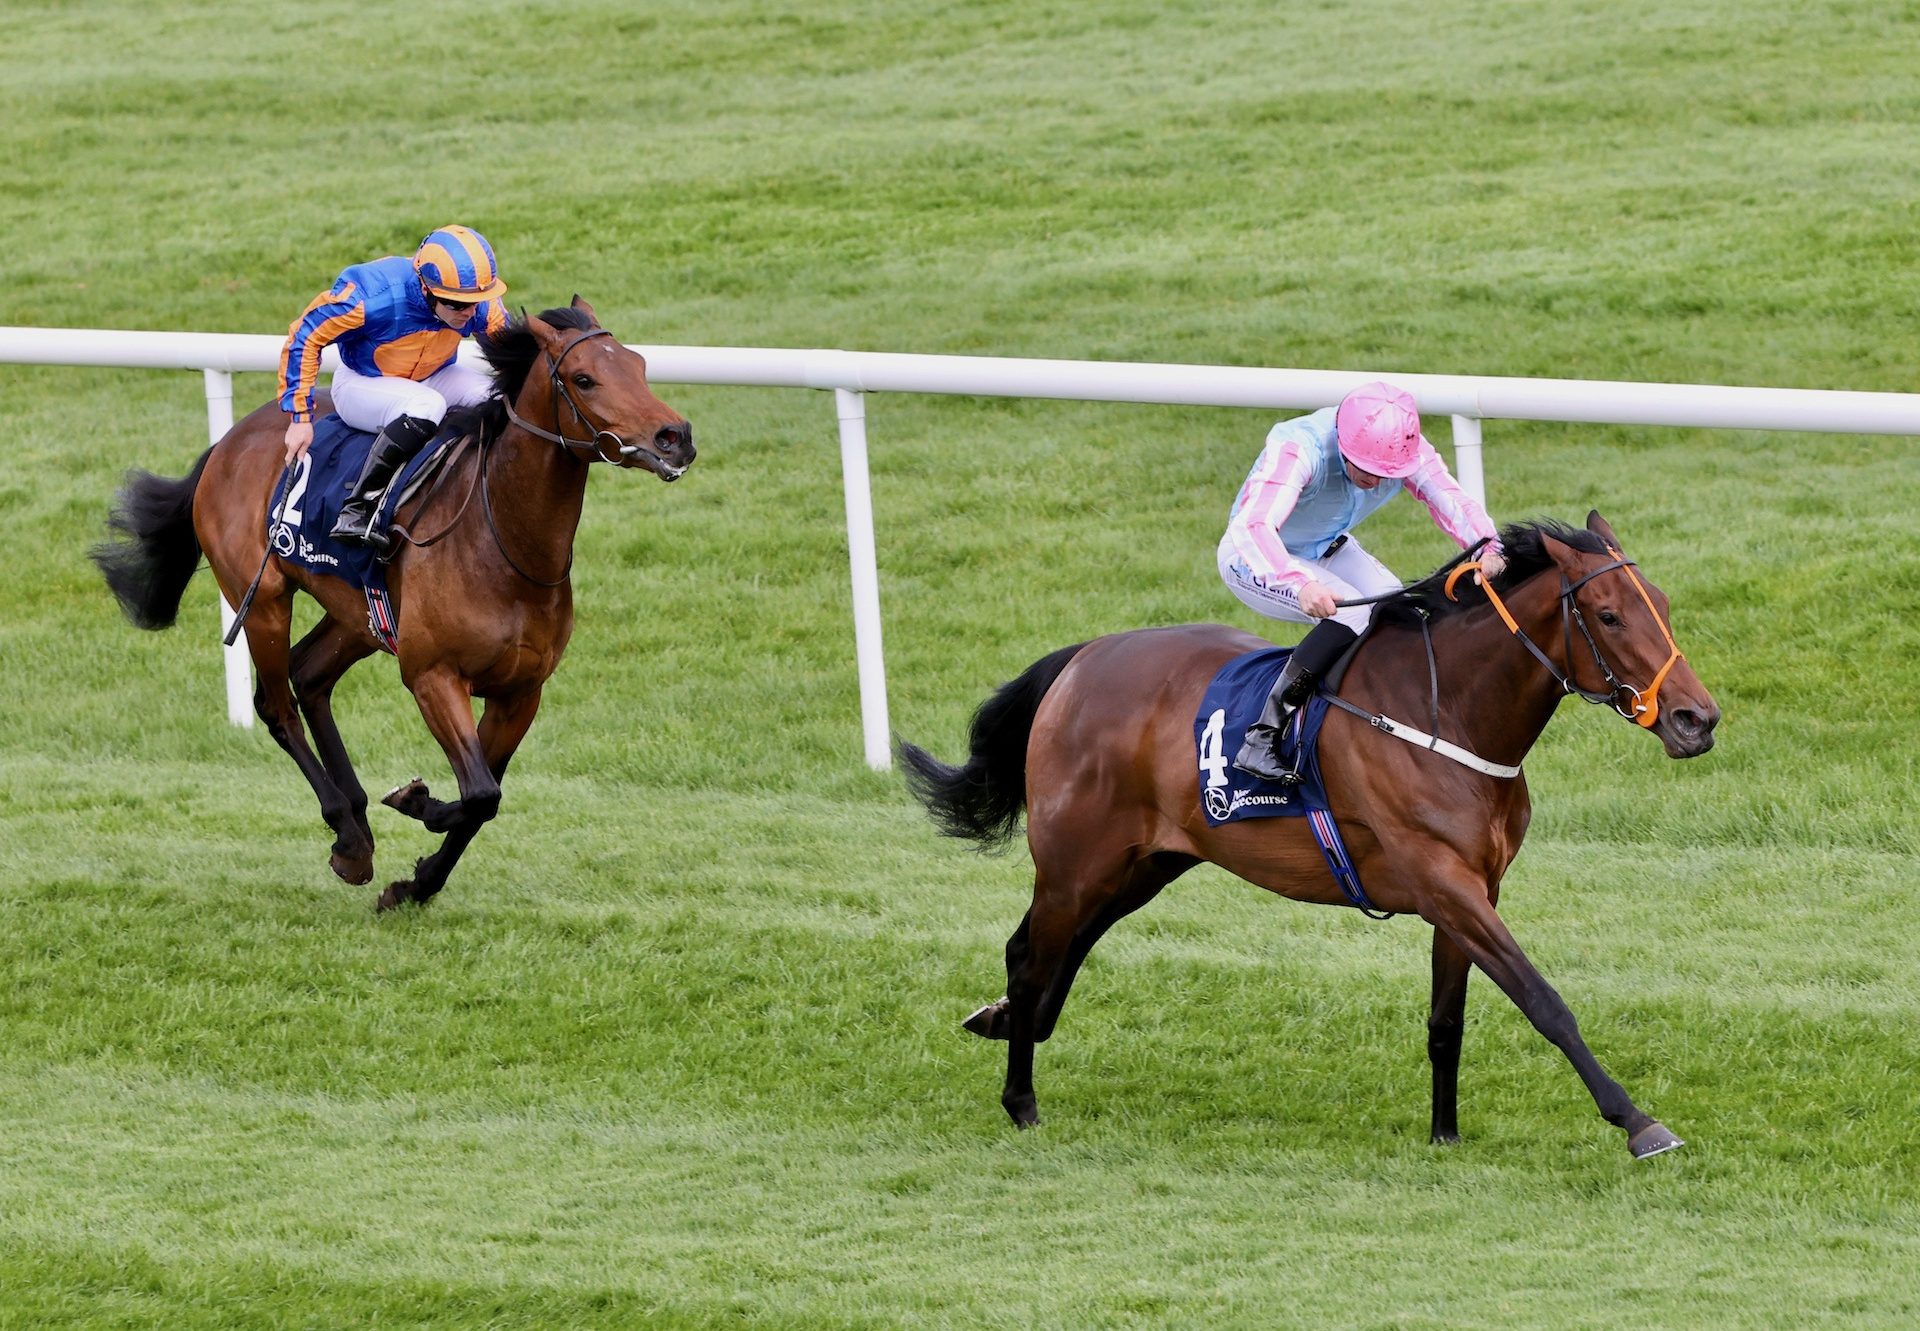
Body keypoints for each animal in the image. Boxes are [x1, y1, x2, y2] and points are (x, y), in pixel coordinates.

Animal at [95, 295, 698, 910]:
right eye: (584, 378)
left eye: (639, 365)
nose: (674, 436)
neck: (502, 542)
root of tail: (228, 442)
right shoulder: (433, 675)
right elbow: (479, 793)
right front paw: (412, 803)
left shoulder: (520, 692)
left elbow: (483, 797)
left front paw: (416, 882)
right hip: (262, 599)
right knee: (278, 706)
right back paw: (347, 832)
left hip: (359, 616)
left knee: (309, 676)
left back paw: (356, 826)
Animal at [898, 514, 1728, 1160]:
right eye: (1610, 615)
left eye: (1660, 604)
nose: (1697, 718)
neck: (1447, 712)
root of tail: (1082, 657)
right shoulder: (1443, 881)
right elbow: (1544, 1000)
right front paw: (1639, 1122)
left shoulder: (1472, 888)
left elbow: (1447, 1019)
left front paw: (1445, 1133)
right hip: (1078, 858)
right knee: (1034, 953)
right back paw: (1020, 1097)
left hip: (1144, 863)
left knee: (1049, 950)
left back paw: (1008, 1021)